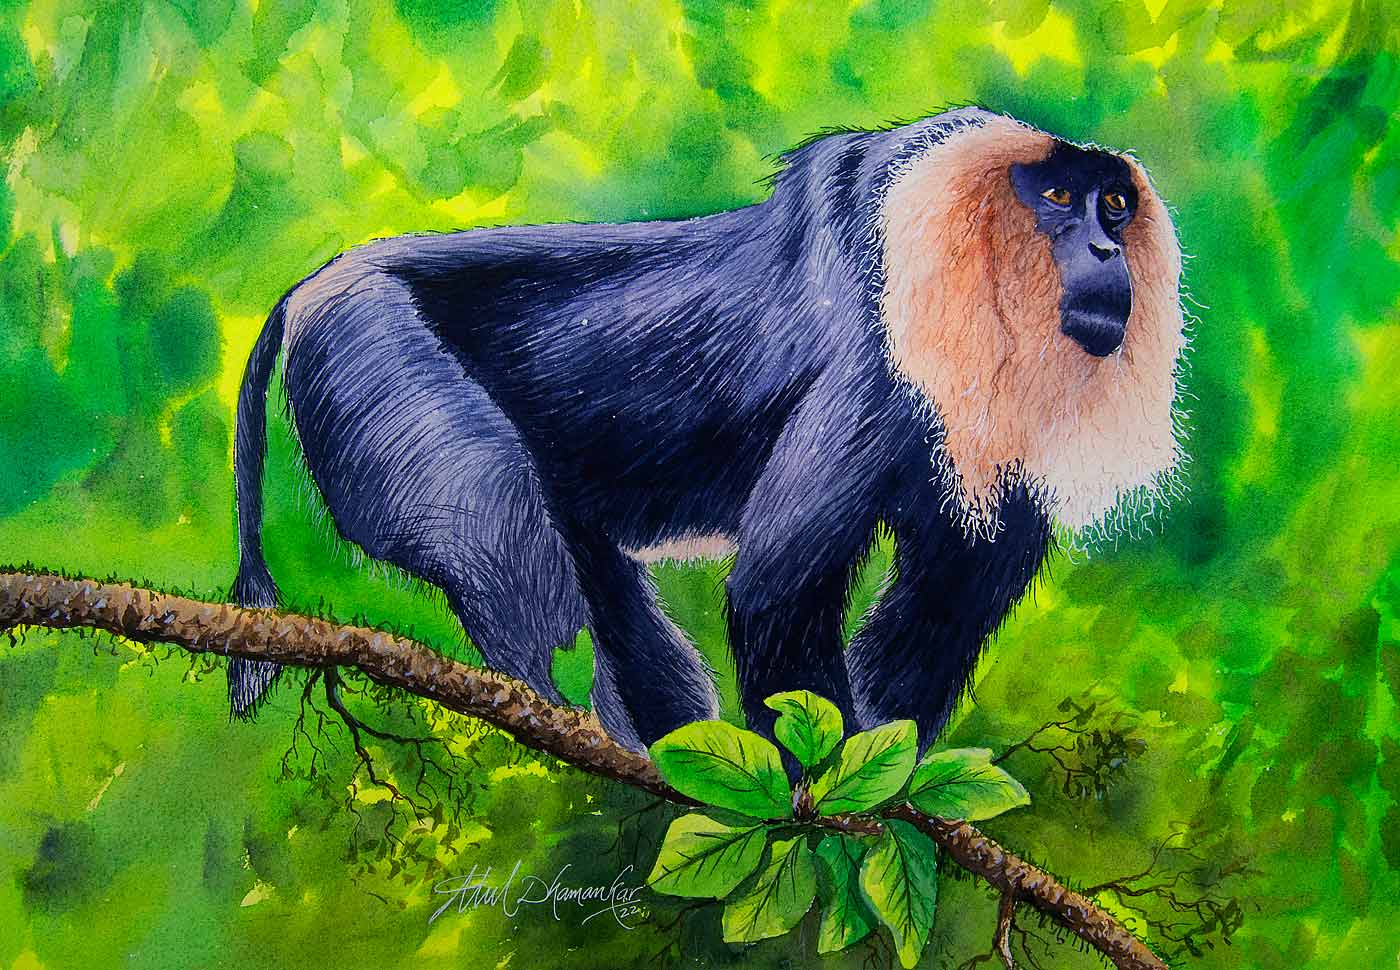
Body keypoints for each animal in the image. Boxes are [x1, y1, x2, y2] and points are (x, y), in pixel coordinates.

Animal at [228, 107, 1185, 755]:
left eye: (1113, 205)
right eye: (1058, 197)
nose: (1106, 252)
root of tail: (309, 289)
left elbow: (951, 597)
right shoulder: (878, 370)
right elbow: (777, 587)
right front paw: (831, 801)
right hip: (370, 354)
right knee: (499, 536)